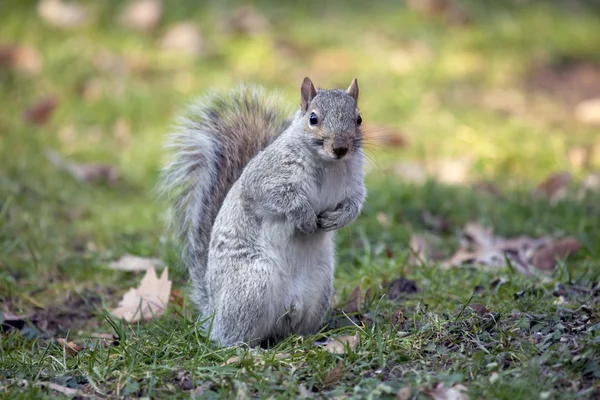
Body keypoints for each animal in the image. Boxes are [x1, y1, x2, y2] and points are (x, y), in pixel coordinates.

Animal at [158, 76, 366, 346]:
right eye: (313, 118)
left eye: (358, 118)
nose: (340, 147)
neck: (328, 164)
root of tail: (213, 313)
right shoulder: (265, 177)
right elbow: (279, 196)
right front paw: (305, 217)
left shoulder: (354, 185)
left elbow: (354, 205)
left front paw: (336, 219)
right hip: (253, 283)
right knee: (230, 338)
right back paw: (248, 349)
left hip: (319, 290)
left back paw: (313, 340)